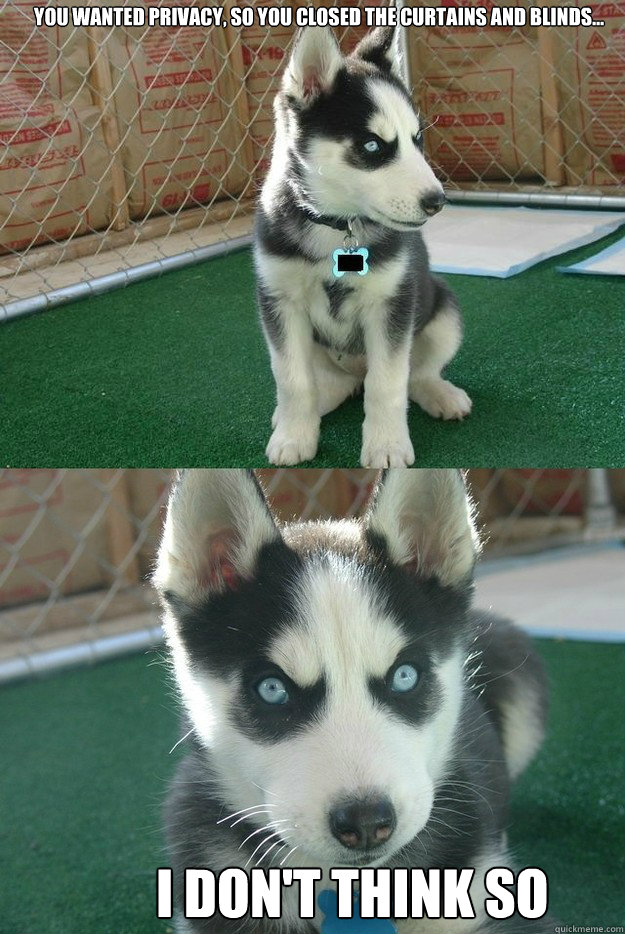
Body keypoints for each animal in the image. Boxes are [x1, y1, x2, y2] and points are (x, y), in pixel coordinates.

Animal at [251, 26, 470, 468]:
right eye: (372, 146)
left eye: (417, 139)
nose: (437, 201)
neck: (337, 225)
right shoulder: (280, 301)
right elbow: (292, 379)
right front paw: (294, 435)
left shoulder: (391, 304)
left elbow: (387, 383)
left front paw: (386, 445)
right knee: (331, 384)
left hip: (444, 313)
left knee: (414, 375)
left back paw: (440, 394)